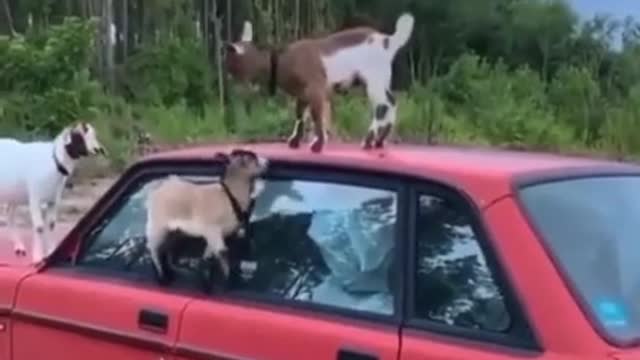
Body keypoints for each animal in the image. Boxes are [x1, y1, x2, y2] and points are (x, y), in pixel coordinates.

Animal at [0, 121, 106, 262]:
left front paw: (50, 252)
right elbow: (39, 227)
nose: (98, 149)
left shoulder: (53, 199)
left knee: (9, 214)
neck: (54, 161)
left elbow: (50, 224)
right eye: (79, 136)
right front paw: (38, 257)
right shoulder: (35, 198)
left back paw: (19, 248)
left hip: (13, 194)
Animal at [225, 12, 416, 153]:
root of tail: (388, 41)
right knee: (392, 101)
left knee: (383, 104)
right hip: (382, 77)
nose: (228, 78)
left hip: (373, 77)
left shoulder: (315, 88)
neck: (281, 61)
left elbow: (317, 116)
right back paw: (379, 141)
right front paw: (294, 141)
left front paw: (318, 145)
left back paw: (368, 141)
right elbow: (299, 115)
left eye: (230, 63)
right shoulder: (302, 93)